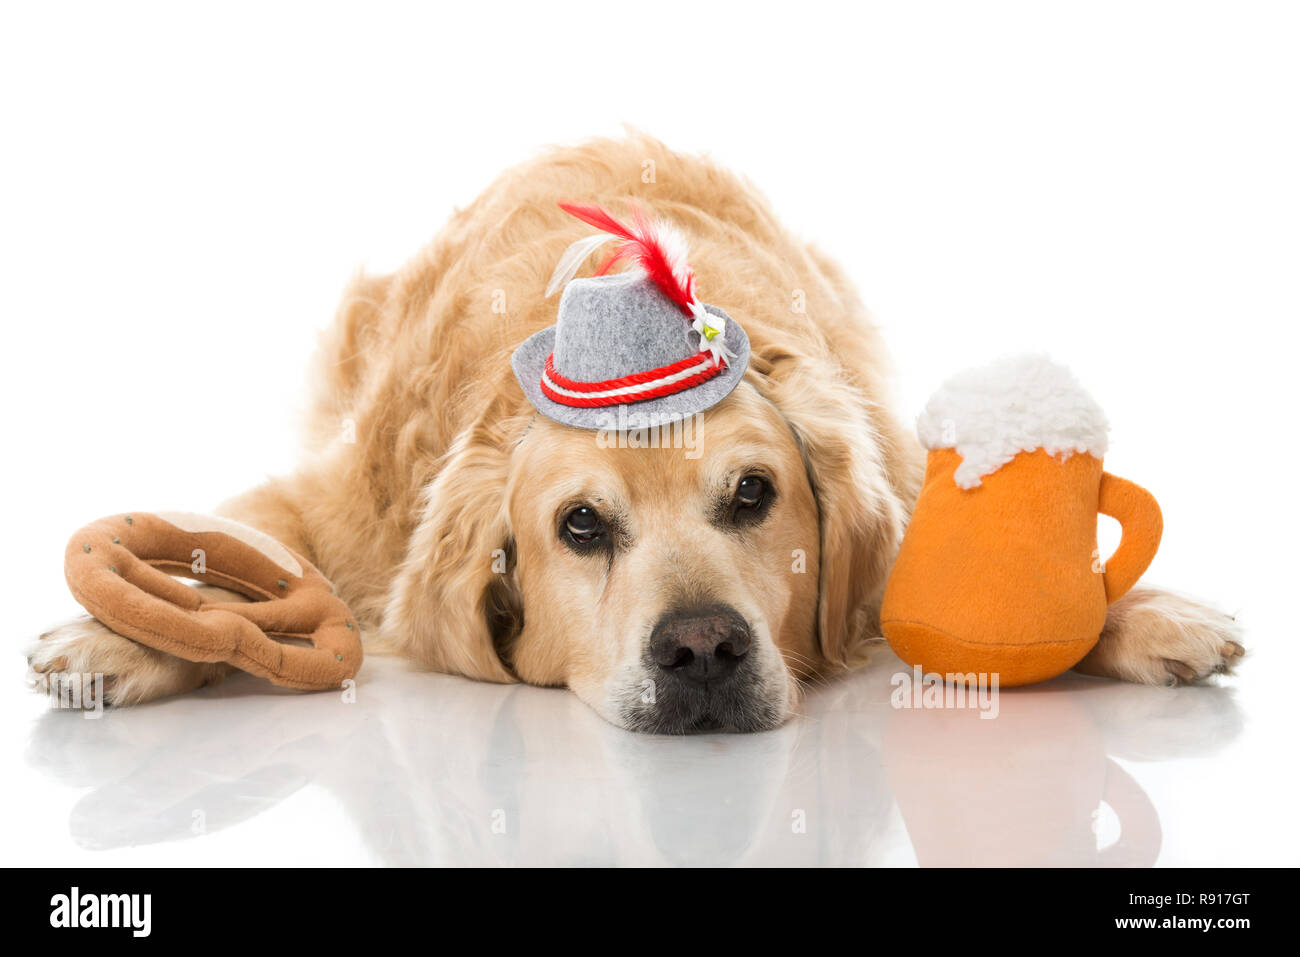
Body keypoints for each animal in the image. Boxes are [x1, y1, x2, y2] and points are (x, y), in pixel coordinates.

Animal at [30, 134, 1242, 733]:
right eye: (579, 526)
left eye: (753, 495)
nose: (702, 649)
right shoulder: (330, 515)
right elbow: (227, 557)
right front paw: (112, 640)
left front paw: (1149, 615)